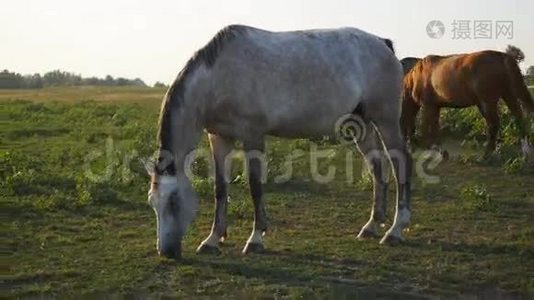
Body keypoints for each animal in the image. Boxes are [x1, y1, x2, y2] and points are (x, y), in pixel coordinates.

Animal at [144, 24, 412, 258]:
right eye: (152, 203)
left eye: (173, 202)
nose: (166, 252)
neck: (218, 77)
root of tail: (383, 44)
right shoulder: (219, 138)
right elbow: (220, 188)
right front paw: (212, 240)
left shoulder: (252, 135)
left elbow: (255, 185)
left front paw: (255, 239)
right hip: (361, 125)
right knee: (377, 168)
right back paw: (371, 226)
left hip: (386, 120)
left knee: (401, 162)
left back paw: (395, 230)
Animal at [404, 46, 532, 157]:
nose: (409, 147)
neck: (416, 77)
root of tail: (502, 56)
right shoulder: (436, 106)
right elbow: (435, 127)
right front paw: (440, 151)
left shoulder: (427, 105)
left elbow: (426, 127)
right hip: (508, 95)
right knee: (519, 118)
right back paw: (526, 152)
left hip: (487, 102)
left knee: (493, 124)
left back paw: (486, 156)